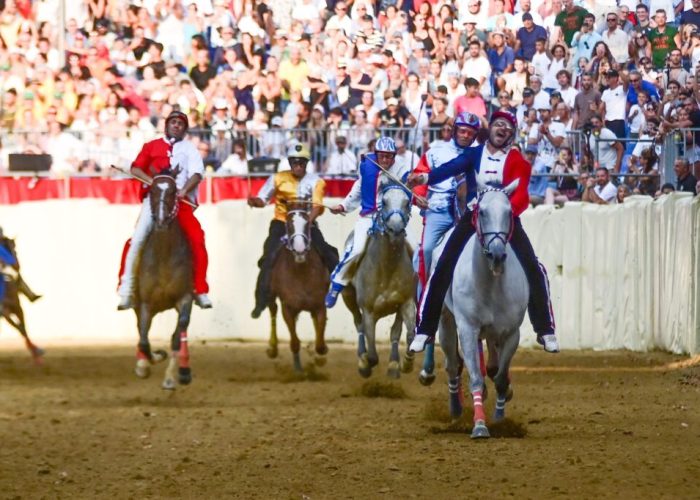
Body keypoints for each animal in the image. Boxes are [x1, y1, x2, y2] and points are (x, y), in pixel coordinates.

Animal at [0, 236, 43, 366]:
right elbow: (21, 329)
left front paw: (37, 353)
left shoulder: (18, 309)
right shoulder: (7, 313)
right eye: (15, 250)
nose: (17, 265)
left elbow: (23, 329)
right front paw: (37, 353)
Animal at [133, 170, 194, 388]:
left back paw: (183, 371)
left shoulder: (185, 298)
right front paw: (148, 363)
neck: (164, 255)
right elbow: (143, 339)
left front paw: (169, 378)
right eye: (152, 190)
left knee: (181, 331)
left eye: (174, 191)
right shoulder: (145, 303)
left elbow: (177, 336)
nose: (160, 221)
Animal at [270, 199, 332, 372]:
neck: (301, 273)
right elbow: (294, 341)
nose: (299, 249)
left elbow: (320, 339)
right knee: (272, 311)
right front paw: (298, 369)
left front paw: (321, 355)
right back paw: (273, 348)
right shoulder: (287, 307)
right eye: (289, 224)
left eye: (307, 223)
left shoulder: (319, 305)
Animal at [340, 186, 412, 376]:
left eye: (407, 202)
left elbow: (405, 334)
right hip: (348, 296)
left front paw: (402, 363)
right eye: (384, 202)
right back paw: (362, 359)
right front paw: (365, 363)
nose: (395, 229)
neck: (387, 267)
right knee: (358, 324)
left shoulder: (406, 302)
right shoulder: (368, 310)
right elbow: (372, 353)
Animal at [434, 180, 528, 438]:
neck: (490, 284)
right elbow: (475, 377)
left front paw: (500, 420)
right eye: (482, 212)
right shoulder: (467, 328)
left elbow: (501, 378)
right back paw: (456, 410)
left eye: (509, 212)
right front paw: (479, 425)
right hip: (446, 321)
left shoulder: (511, 333)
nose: (496, 255)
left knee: (492, 365)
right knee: (453, 364)